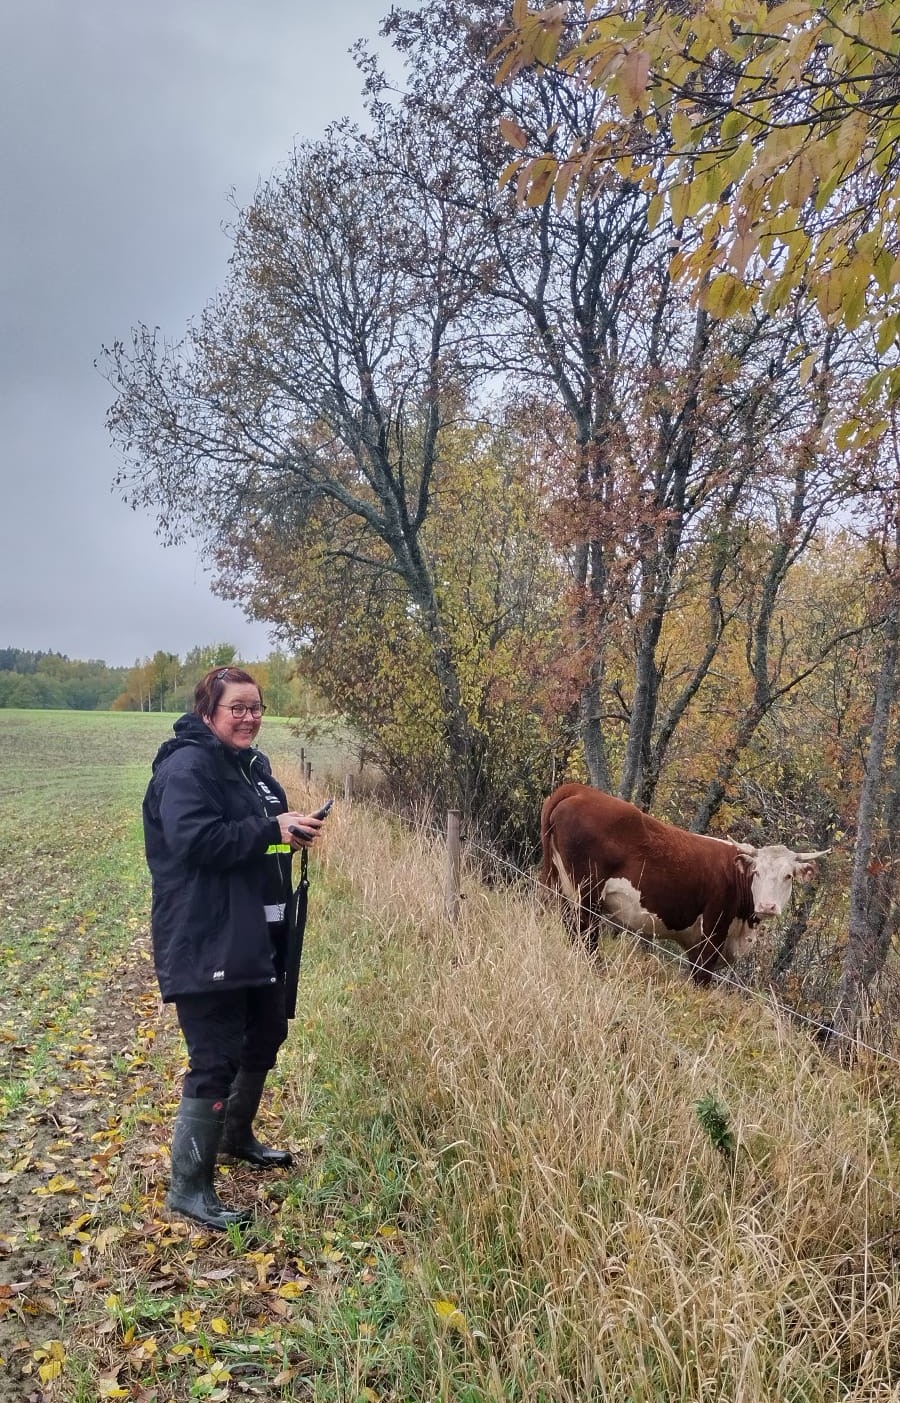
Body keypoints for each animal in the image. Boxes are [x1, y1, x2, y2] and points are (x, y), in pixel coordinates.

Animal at [536, 780, 825, 987]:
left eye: (788, 875)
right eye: (756, 872)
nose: (767, 906)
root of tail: (577, 790)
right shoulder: (712, 933)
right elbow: (700, 979)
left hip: (556, 879)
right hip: (586, 893)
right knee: (585, 935)